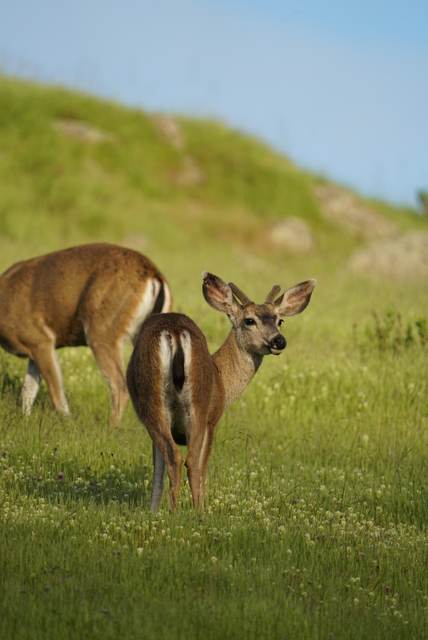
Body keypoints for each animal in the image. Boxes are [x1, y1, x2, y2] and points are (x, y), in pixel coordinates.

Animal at [0, 243, 171, 423]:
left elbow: (56, 392)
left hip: (102, 331)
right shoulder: (33, 348)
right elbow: (28, 390)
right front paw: (25, 420)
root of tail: (154, 274)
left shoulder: (40, 338)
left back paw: (110, 427)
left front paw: (67, 423)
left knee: (120, 386)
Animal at [127, 272, 316, 511]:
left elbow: (157, 469)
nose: (279, 341)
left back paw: (172, 510)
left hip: (154, 404)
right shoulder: (213, 418)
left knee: (173, 457)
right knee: (190, 461)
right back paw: (195, 512)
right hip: (198, 405)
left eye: (279, 320)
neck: (221, 378)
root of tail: (175, 333)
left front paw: (153, 511)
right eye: (249, 320)